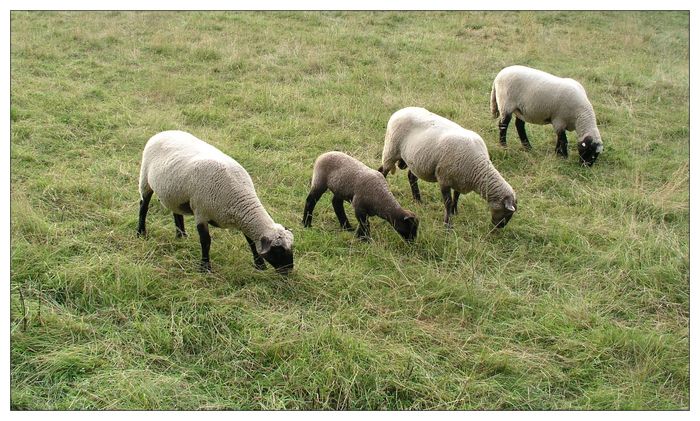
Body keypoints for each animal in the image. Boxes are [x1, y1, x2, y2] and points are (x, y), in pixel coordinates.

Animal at [137, 130, 292, 274]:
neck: (238, 197)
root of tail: (163, 132)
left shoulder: (243, 220)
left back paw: (181, 236)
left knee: (176, 211)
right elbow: (206, 242)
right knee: (143, 206)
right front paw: (205, 268)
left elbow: (250, 241)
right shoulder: (201, 212)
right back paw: (141, 233)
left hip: (174, 192)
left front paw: (260, 266)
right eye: (278, 250)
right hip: (145, 178)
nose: (289, 271)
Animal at [380, 106, 516, 228]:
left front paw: (455, 212)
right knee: (382, 171)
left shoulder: (460, 179)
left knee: (411, 177)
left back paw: (418, 200)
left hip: (417, 160)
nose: (499, 227)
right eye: (508, 213)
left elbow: (456, 196)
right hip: (391, 151)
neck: (478, 168)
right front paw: (448, 224)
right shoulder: (444, 179)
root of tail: (400, 111)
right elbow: (448, 203)